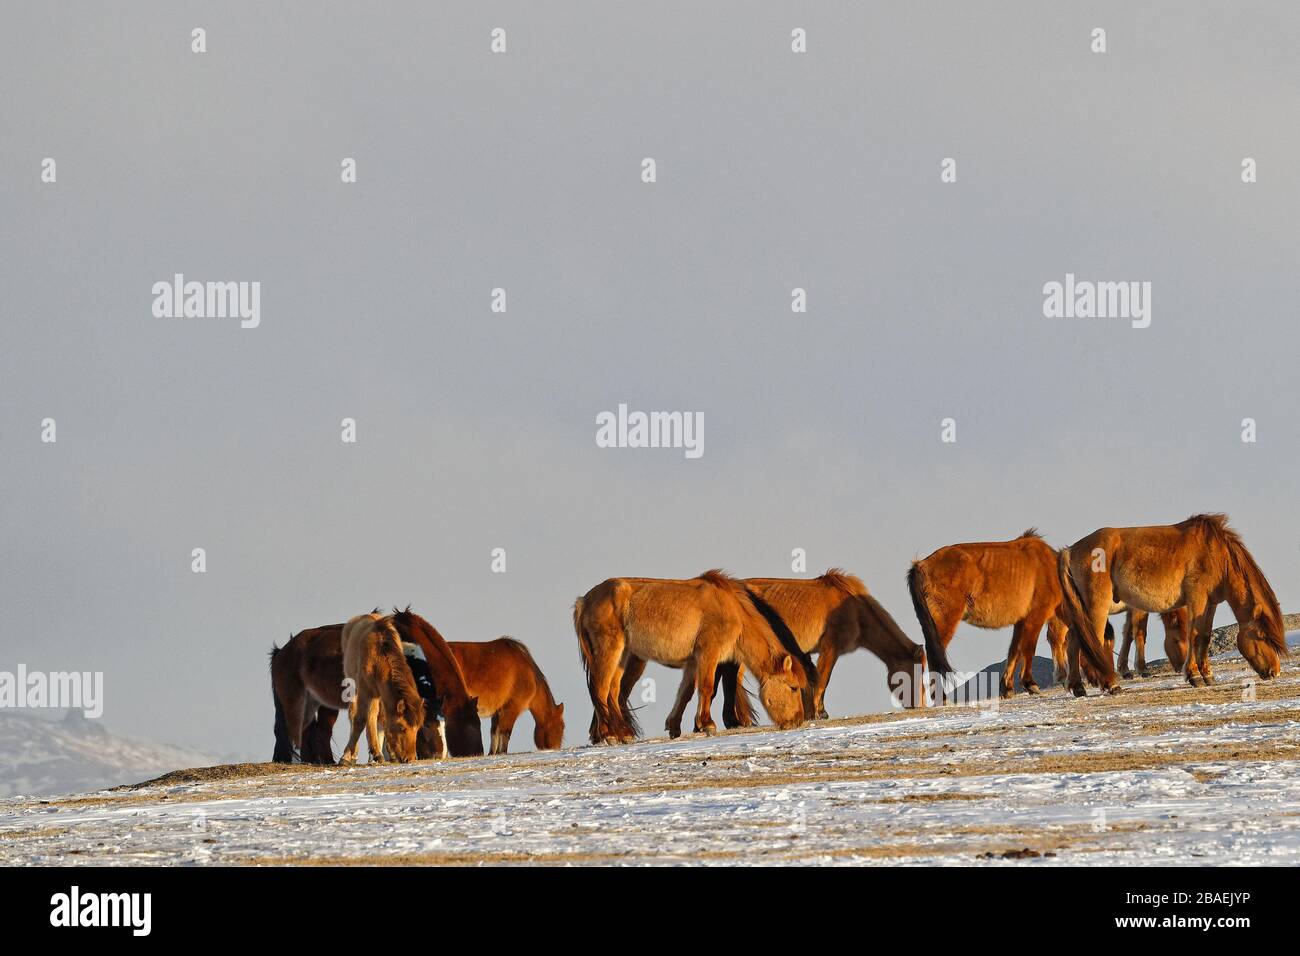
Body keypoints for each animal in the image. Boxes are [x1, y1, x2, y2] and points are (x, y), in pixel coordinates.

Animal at [339, 614, 426, 764]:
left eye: (417, 728)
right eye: (402, 728)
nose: (410, 758)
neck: (378, 655)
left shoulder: (382, 695)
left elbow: (382, 720)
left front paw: (388, 754)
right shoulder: (365, 691)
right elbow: (360, 720)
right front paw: (346, 756)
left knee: (375, 717)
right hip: (355, 687)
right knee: (355, 715)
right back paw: (355, 755)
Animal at [574, 570, 809, 743]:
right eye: (793, 687)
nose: (797, 721)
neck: (730, 609)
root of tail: (584, 601)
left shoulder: (693, 662)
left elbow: (685, 693)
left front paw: (674, 726)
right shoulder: (708, 654)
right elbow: (706, 688)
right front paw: (707, 724)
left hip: (623, 656)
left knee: (614, 692)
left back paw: (623, 733)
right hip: (610, 651)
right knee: (601, 689)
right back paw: (609, 734)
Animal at [907, 529, 1078, 698]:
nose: (1065, 680)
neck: (1049, 569)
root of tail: (921, 565)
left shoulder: (1021, 621)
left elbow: (1014, 651)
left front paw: (1007, 688)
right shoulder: (1035, 617)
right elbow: (1028, 648)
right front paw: (1030, 684)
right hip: (945, 620)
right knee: (933, 656)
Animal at [1058, 514, 1286, 690]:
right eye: (1262, 636)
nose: (1274, 671)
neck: (1216, 554)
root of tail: (1070, 550)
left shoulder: (1210, 603)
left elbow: (1204, 636)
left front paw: (1207, 675)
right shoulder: (1196, 599)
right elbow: (1194, 634)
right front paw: (1194, 676)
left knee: (1074, 639)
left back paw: (1078, 687)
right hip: (1097, 607)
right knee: (1091, 639)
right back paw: (1109, 684)